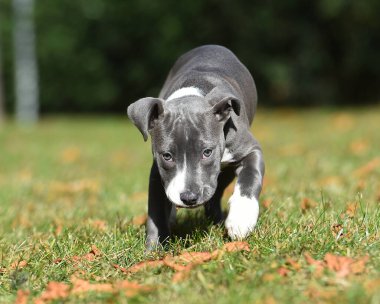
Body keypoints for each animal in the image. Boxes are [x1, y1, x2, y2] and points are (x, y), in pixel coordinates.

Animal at [127, 45, 264, 249]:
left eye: (207, 152)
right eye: (167, 156)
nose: (189, 197)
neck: (191, 93)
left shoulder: (250, 150)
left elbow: (250, 177)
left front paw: (241, 218)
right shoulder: (157, 171)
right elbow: (156, 209)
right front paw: (155, 248)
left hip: (225, 171)